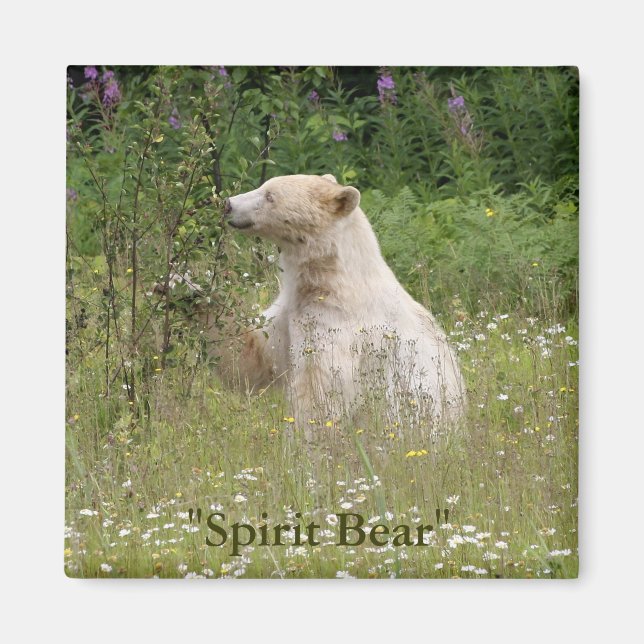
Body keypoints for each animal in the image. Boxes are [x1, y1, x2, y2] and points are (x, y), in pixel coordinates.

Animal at [222, 173, 465, 431]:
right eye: (263, 185)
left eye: (270, 195)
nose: (228, 204)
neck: (335, 279)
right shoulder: (289, 309)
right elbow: (253, 355)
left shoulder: (338, 323)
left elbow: (321, 387)